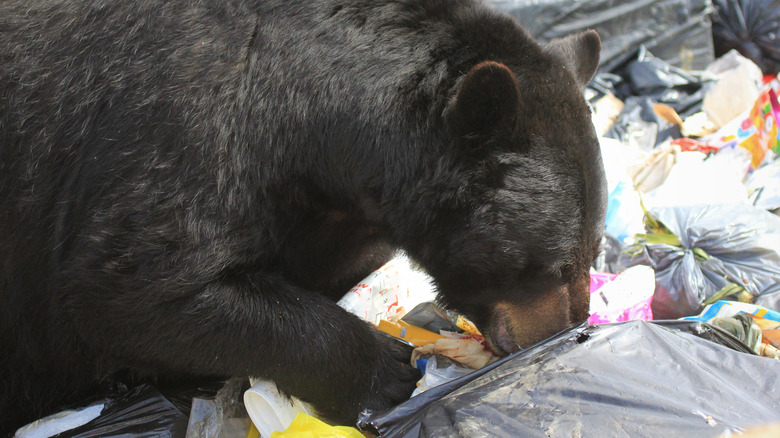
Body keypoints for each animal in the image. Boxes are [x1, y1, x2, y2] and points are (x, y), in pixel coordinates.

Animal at [0, 0, 608, 432]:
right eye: (552, 263)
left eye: (594, 249)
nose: (571, 329)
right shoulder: (186, 132)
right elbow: (130, 289)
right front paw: (385, 371)